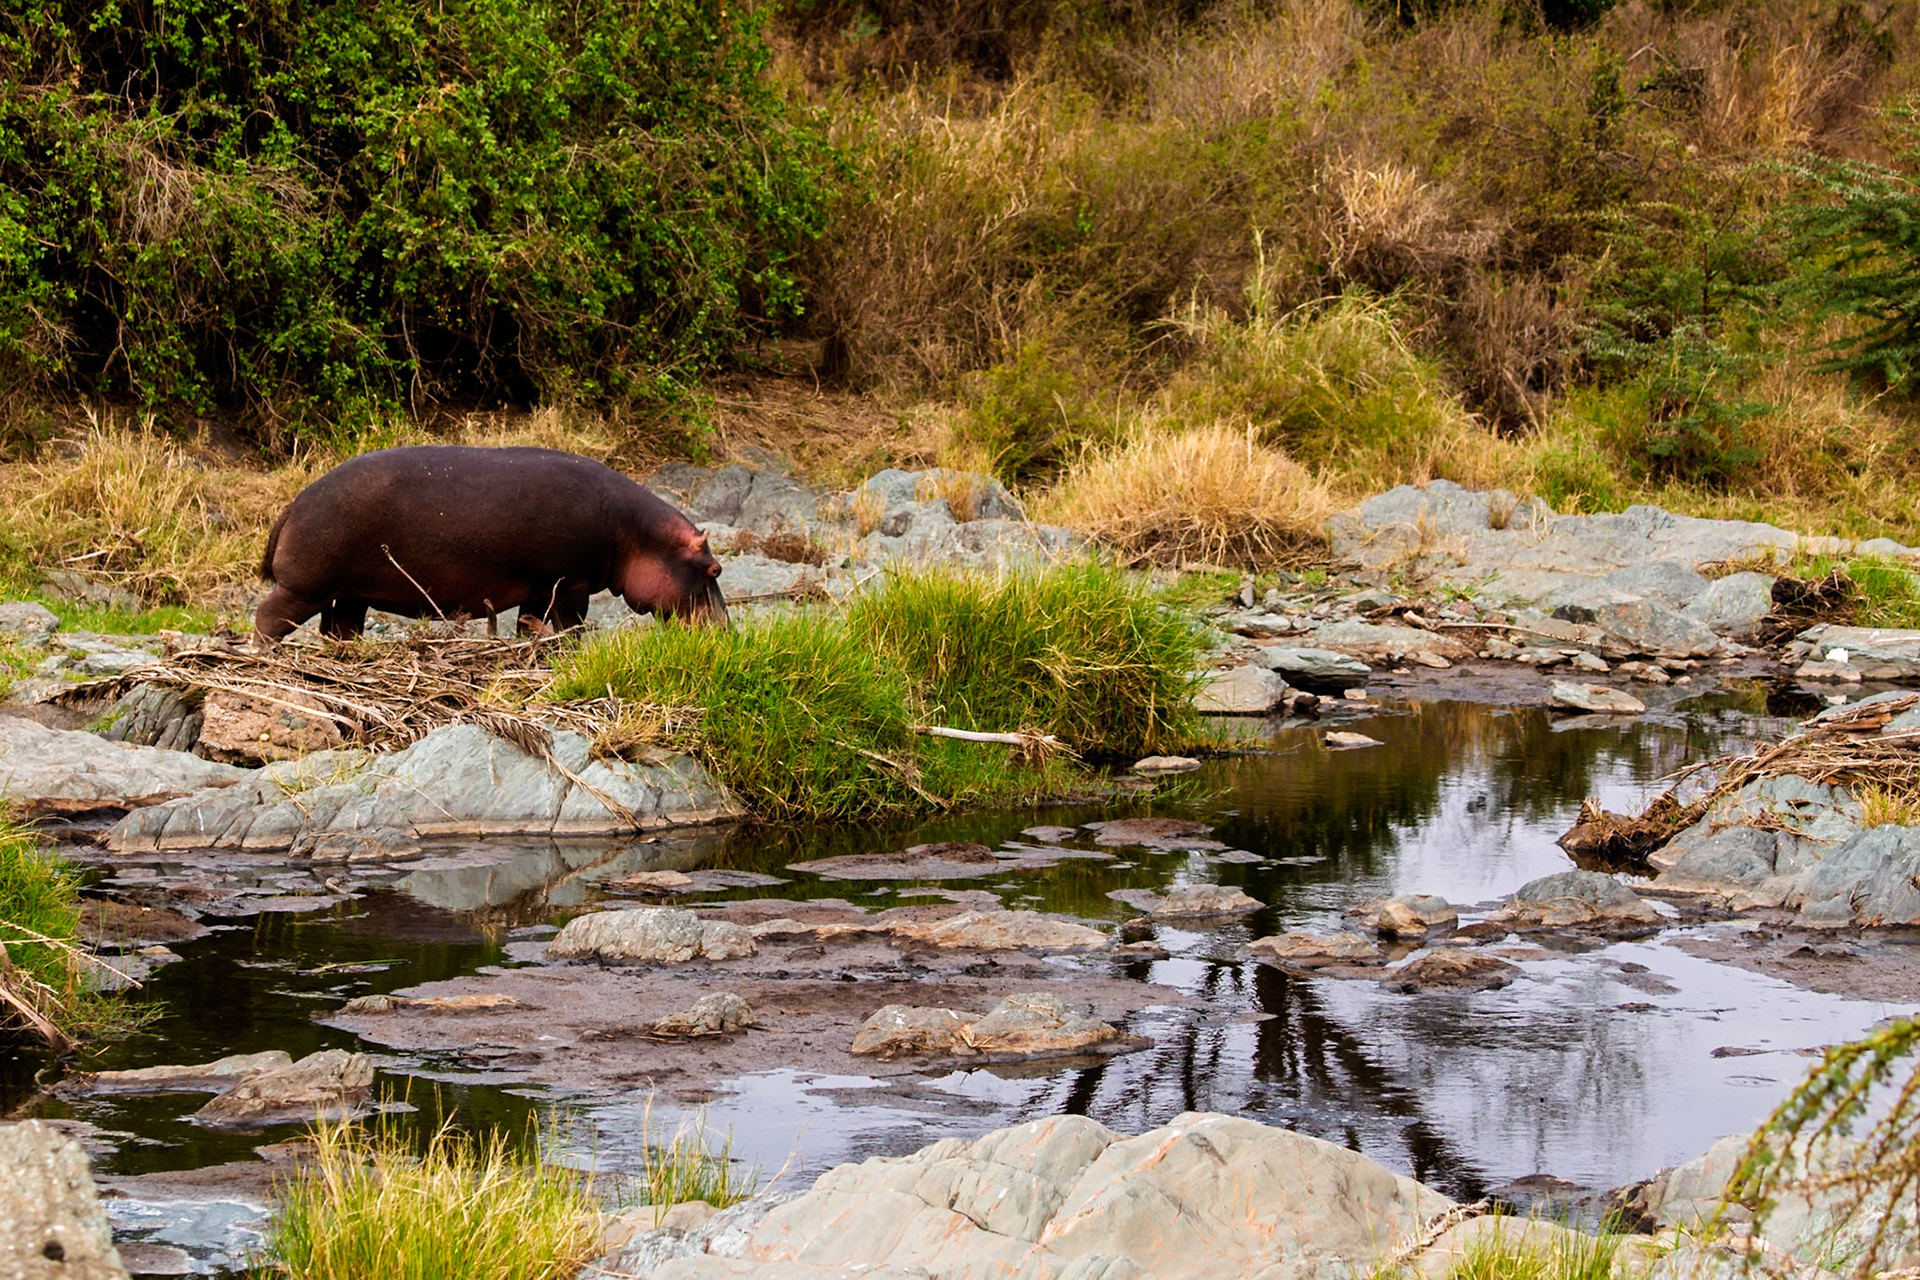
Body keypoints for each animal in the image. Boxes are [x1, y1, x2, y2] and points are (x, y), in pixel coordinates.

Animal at [254, 445, 727, 641]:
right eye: (715, 569)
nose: (728, 632)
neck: (637, 534)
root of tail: (293, 505)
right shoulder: (570, 586)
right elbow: (570, 627)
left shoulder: (538, 589)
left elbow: (529, 626)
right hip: (305, 587)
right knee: (267, 618)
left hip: (348, 595)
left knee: (338, 631)